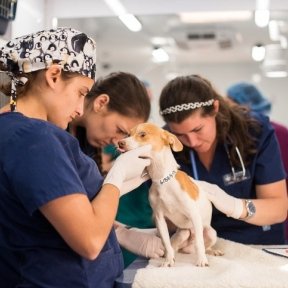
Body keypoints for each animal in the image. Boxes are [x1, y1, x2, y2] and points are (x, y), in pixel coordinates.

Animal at [117, 122, 223, 266]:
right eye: (128, 134)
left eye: (143, 134)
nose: (120, 143)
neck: (162, 180)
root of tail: (188, 249)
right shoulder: (160, 219)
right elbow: (166, 243)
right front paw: (168, 261)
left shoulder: (194, 215)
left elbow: (200, 243)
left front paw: (201, 260)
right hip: (183, 233)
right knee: (175, 246)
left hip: (211, 232)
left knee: (202, 245)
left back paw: (211, 252)